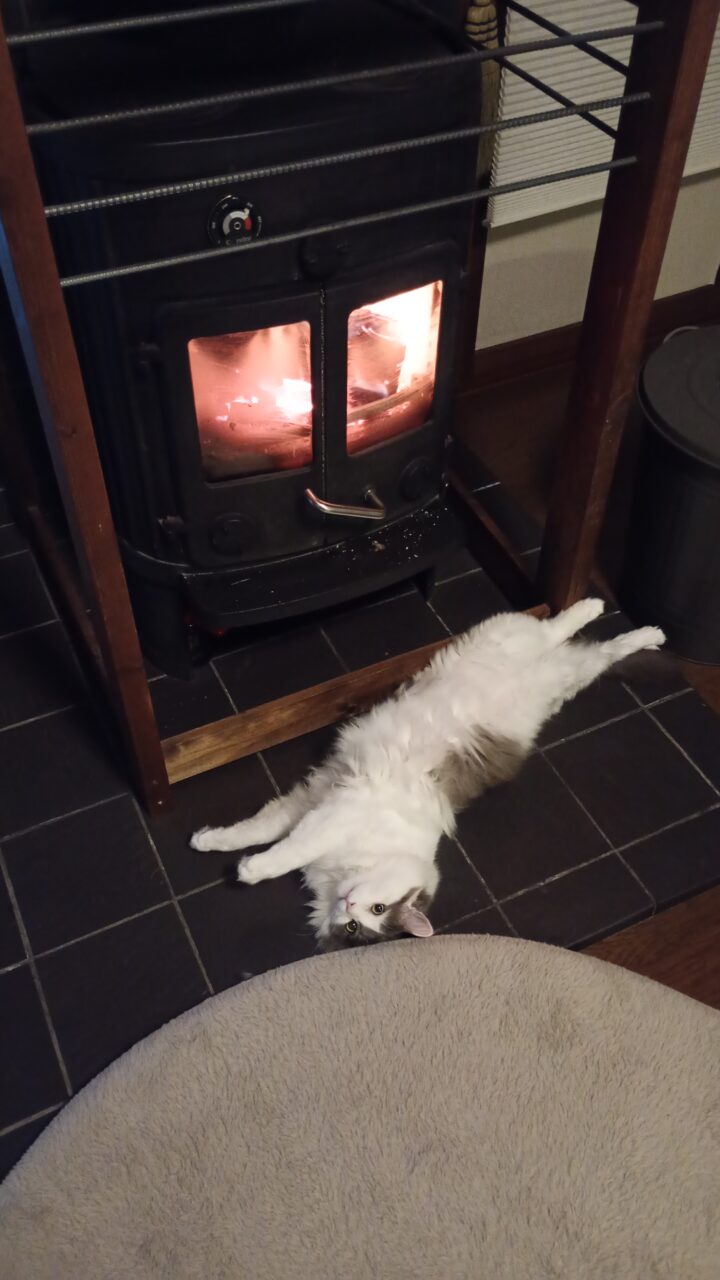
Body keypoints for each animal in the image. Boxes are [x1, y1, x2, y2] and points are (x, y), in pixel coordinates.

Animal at [191, 599, 665, 950]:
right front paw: (209, 843)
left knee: (605, 650)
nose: (348, 906)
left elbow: (276, 844)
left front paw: (245, 867)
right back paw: (602, 609)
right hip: (510, 639)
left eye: (367, 920)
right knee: (558, 626)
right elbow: (260, 832)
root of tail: (546, 667)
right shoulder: (323, 803)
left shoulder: (322, 809)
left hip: (567, 676)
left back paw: (649, 634)